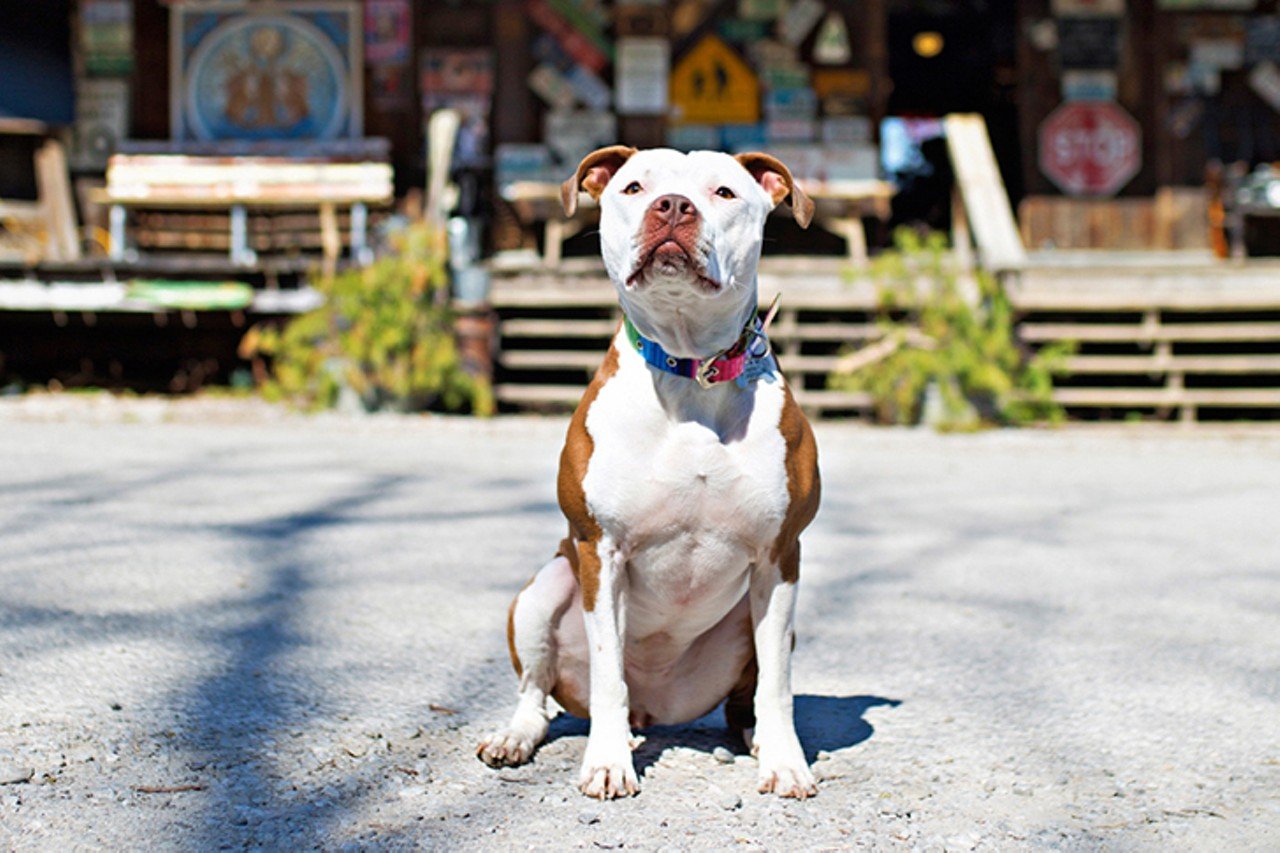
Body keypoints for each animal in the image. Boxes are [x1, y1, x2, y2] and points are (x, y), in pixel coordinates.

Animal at [478, 146, 819, 799]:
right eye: (635, 187)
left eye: (724, 192)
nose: (673, 206)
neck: (690, 369)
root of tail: (656, 709)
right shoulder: (601, 551)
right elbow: (609, 669)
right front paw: (608, 763)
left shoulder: (779, 555)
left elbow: (779, 684)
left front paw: (786, 763)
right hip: (543, 590)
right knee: (538, 691)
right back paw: (517, 737)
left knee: (747, 697)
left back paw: (755, 739)